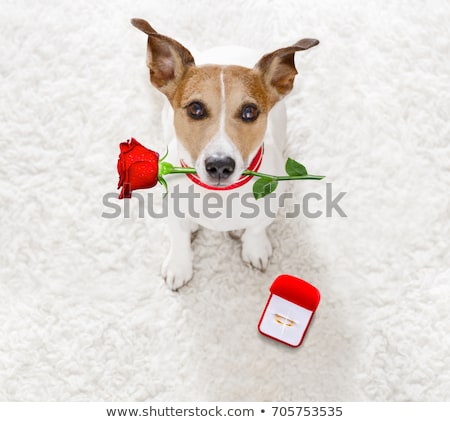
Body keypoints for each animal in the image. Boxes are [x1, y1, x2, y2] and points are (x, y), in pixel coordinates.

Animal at [132, 19, 318, 290]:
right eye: (195, 109)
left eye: (249, 111)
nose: (219, 165)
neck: (219, 195)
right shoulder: (170, 207)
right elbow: (178, 237)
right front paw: (179, 264)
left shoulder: (271, 203)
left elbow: (257, 229)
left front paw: (254, 247)